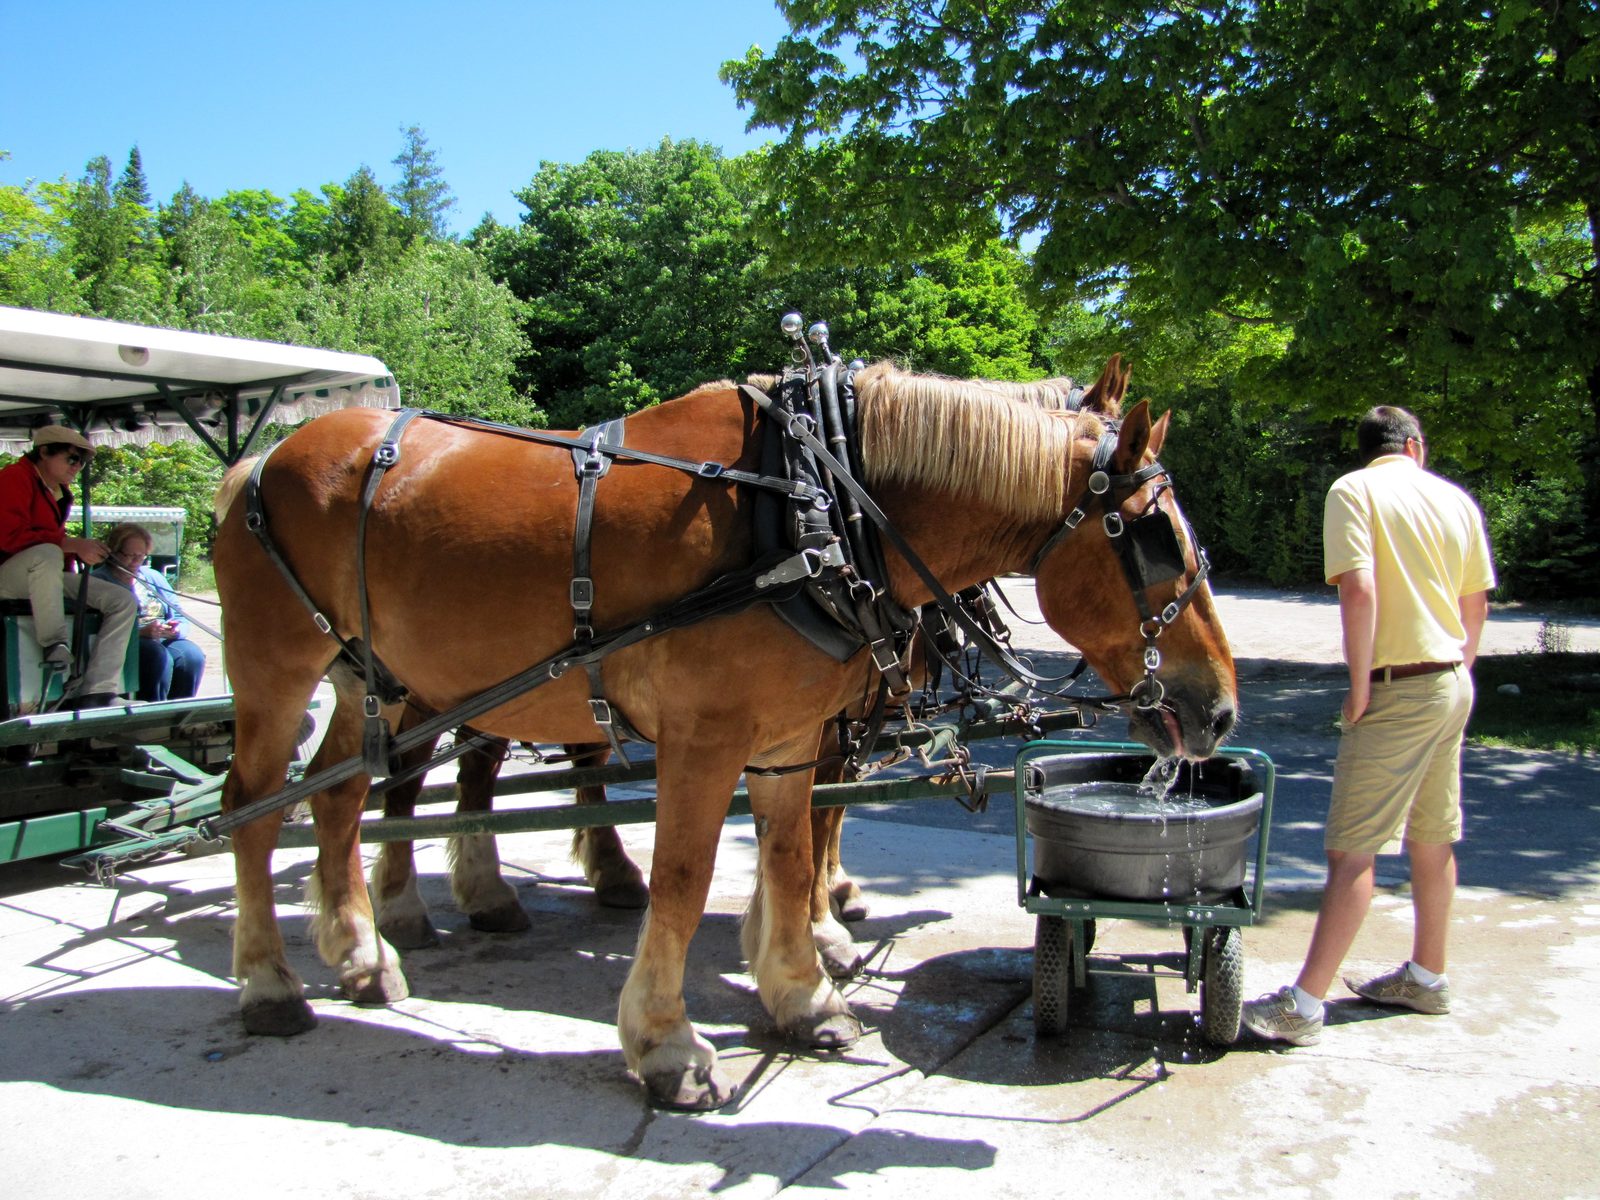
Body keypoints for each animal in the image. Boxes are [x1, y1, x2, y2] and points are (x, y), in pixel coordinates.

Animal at [210, 356, 1237, 1110]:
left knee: (342, 799)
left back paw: (362, 954)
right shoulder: (704, 739)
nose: (1221, 708)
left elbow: (789, 854)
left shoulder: (787, 735)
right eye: (1155, 538)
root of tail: (256, 461)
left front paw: (802, 993)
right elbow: (685, 875)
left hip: (372, 681)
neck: (809, 505)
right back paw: (273, 983)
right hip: (281, 676)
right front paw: (667, 1046)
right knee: (256, 812)